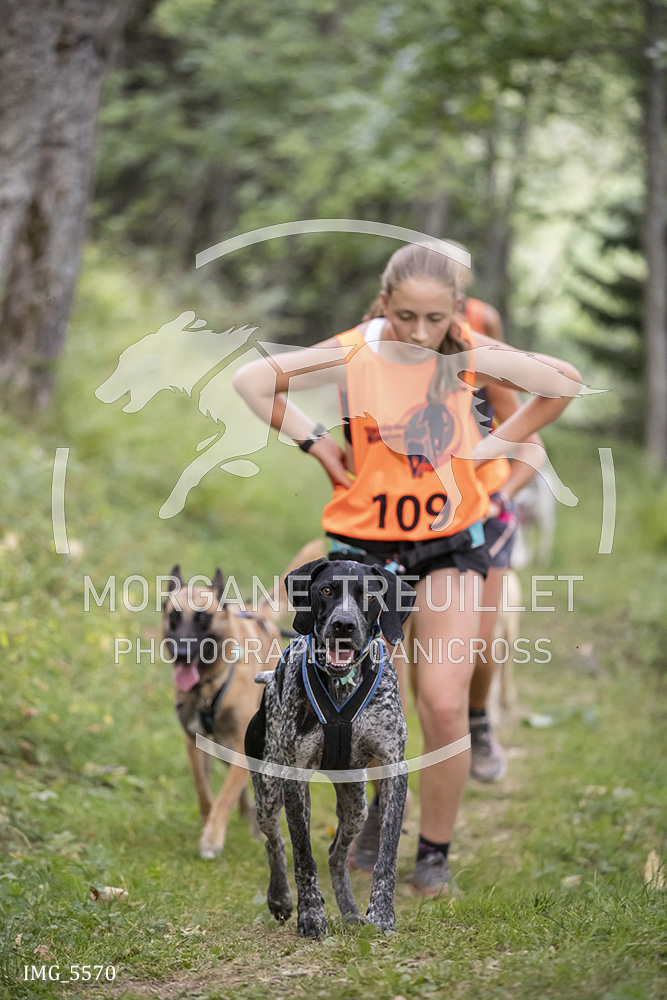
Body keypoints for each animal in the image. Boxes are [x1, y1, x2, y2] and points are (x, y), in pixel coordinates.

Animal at [246, 557, 416, 937]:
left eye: (368, 594)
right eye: (326, 590)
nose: (344, 624)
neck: (342, 682)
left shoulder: (393, 768)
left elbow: (387, 855)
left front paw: (382, 915)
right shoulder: (294, 777)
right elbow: (302, 856)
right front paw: (310, 916)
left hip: (356, 807)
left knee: (337, 853)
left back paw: (351, 912)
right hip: (268, 793)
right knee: (275, 841)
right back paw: (280, 898)